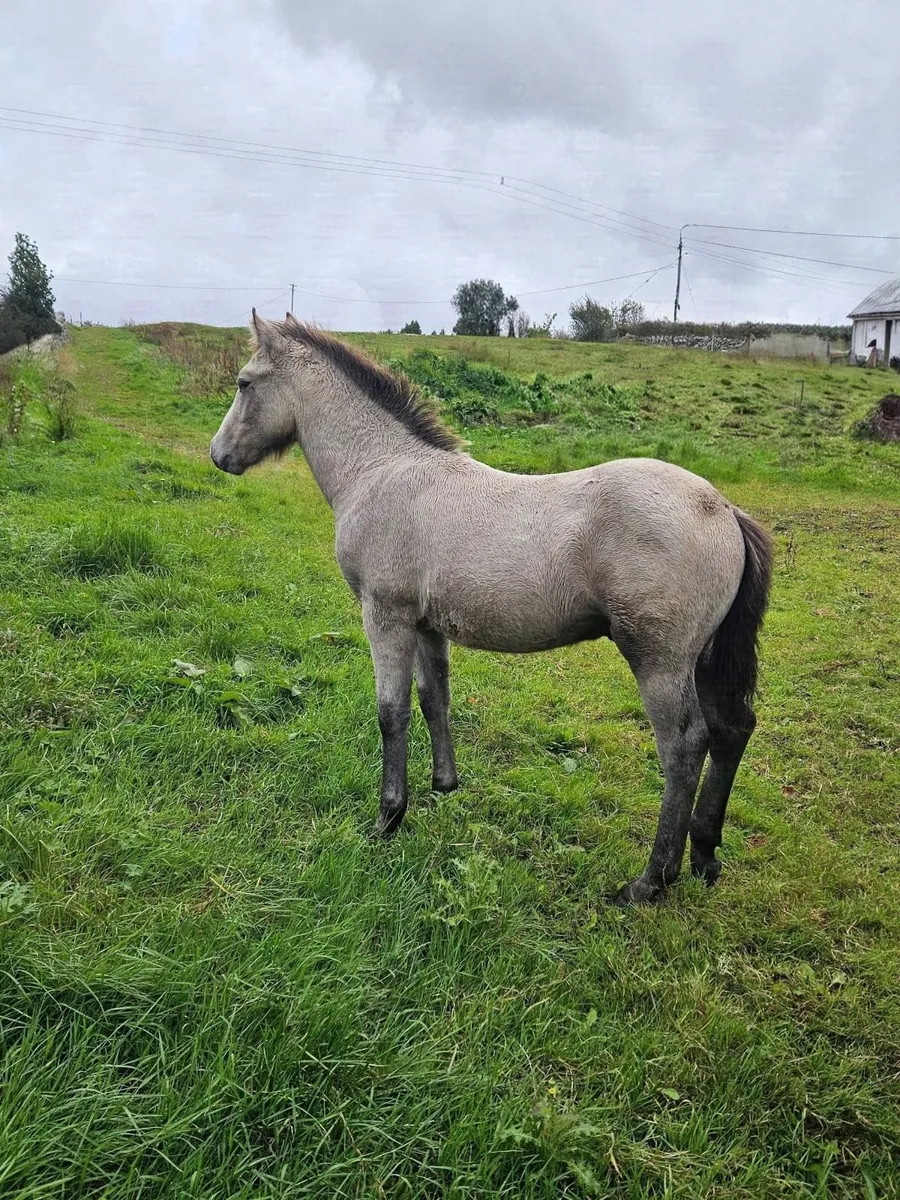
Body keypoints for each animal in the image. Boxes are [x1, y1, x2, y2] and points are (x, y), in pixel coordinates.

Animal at [210, 312, 772, 905]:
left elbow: (391, 713)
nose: (218, 455)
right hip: (705, 659)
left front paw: (388, 818)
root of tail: (725, 509)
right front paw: (443, 786)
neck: (381, 470)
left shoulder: (385, 617)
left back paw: (650, 880)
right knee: (733, 729)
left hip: (659, 660)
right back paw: (705, 856)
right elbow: (434, 699)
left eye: (244, 383)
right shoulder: (426, 625)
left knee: (685, 748)